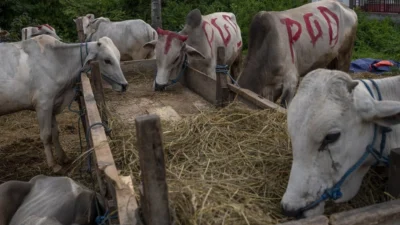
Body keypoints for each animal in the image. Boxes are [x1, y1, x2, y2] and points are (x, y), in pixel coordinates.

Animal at [0, 34, 128, 172]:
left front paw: (63, 157)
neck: (58, 60)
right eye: (107, 60)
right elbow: (46, 135)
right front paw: (53, 165)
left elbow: (55, 133)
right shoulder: (43, 104)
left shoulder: (53, 104)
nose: (124, 85)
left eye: (118, 56)